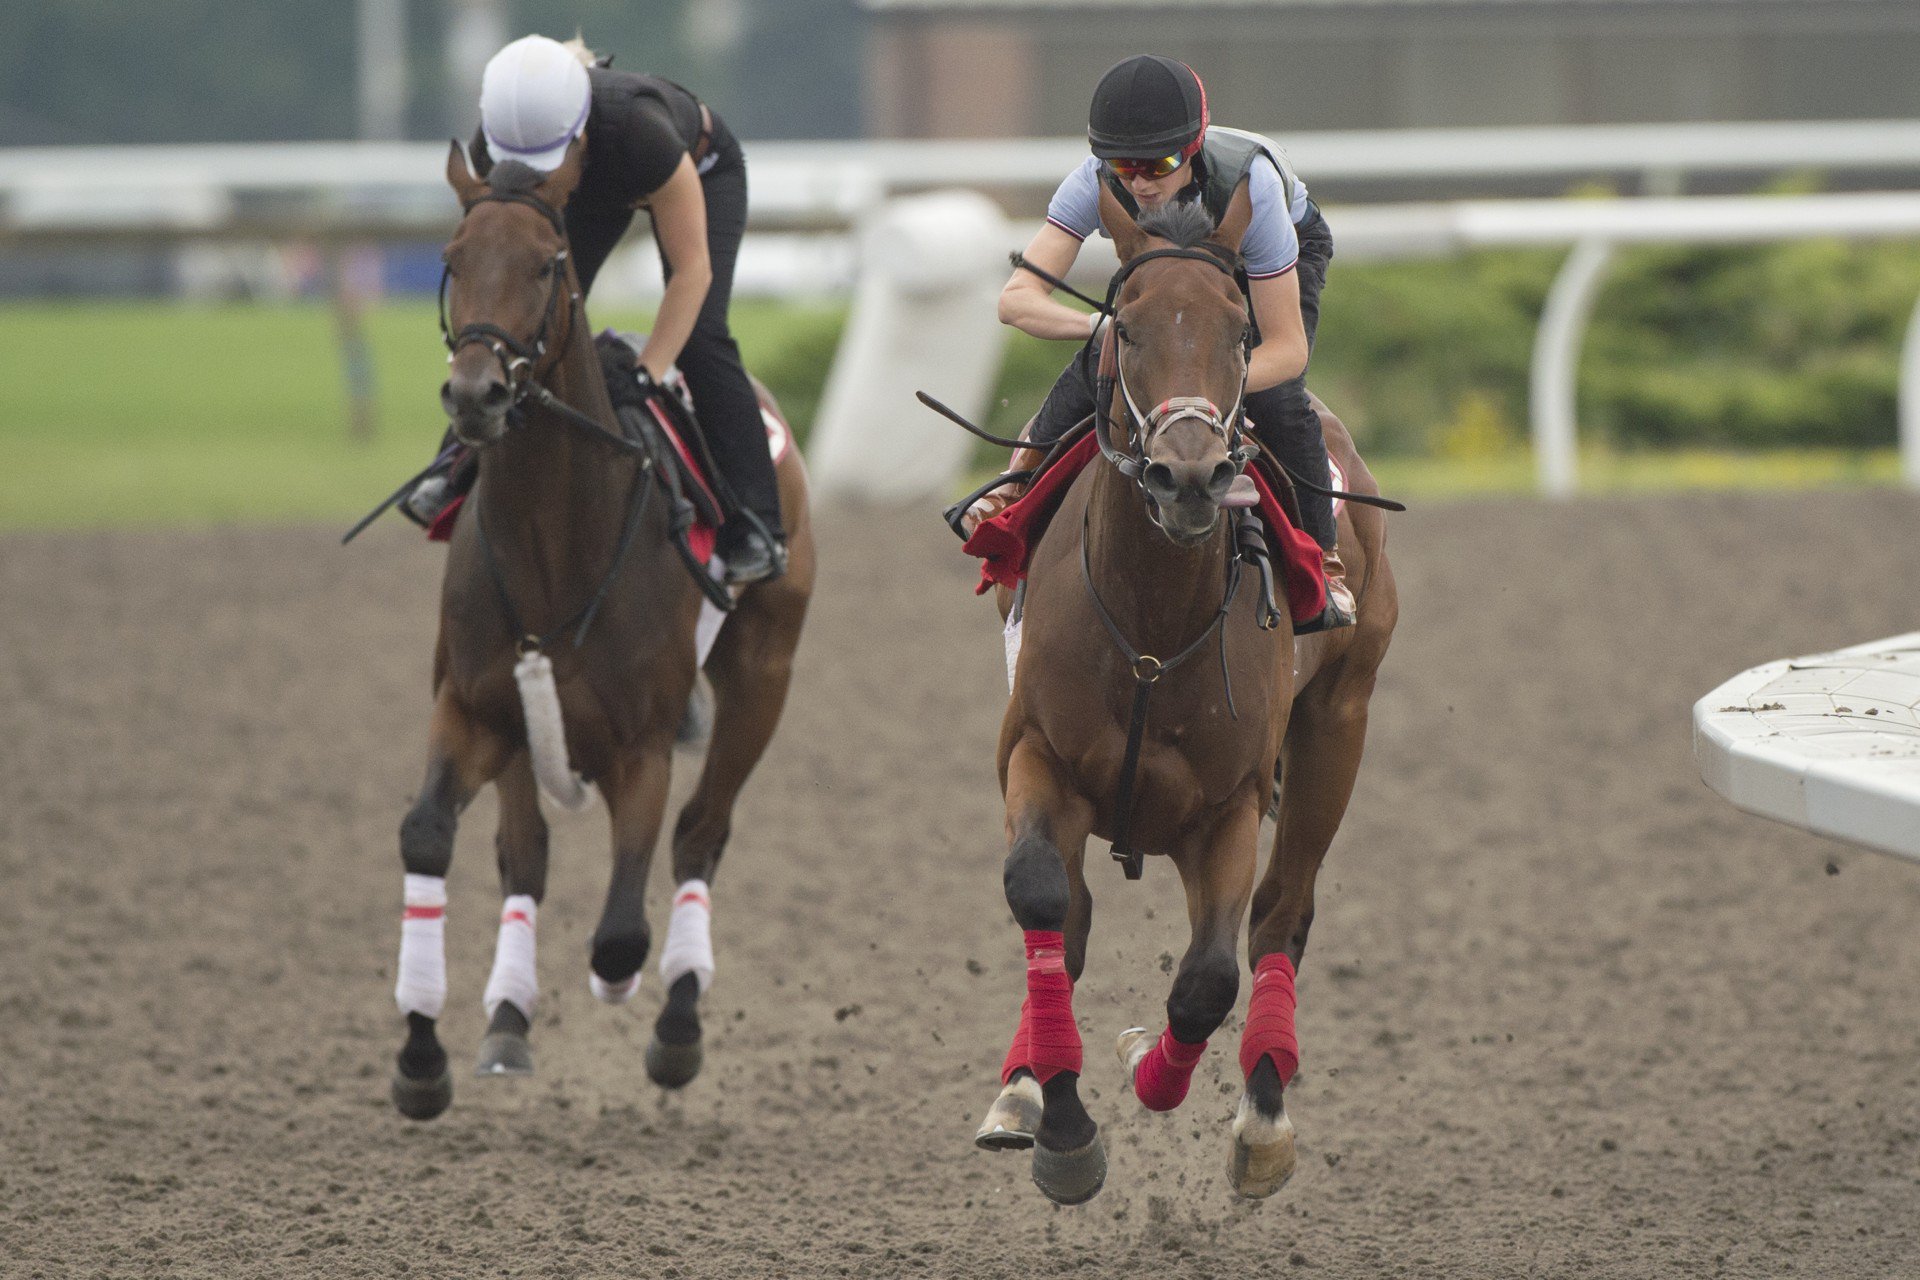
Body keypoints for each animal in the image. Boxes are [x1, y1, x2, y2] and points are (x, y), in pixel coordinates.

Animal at [385, 142, 814, 1120]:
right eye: (452, 259)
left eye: (548, 265)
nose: (476, 393)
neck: (555, 538)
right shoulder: (474, 708)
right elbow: (432, 836)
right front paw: (423, 1054)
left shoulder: (640, 747)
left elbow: (621, 928)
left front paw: (625, 990)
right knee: (524, 856)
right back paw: (507, 1018)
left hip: (763, 678)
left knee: (701, 834)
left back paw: (677, 1025)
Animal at [975, 180, 1397, 1205]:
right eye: (1123, 327)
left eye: (1242, 330)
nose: (1192, 475)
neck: (1153, 632)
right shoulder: (1036, 755)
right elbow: (1044, 898)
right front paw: (1056, 1119)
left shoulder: (1230, 806)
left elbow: (1208, 978)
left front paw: (1146, 1070)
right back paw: (1024, 1084)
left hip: (1340, 723)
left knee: (1284, 913)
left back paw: (1264, 1114)